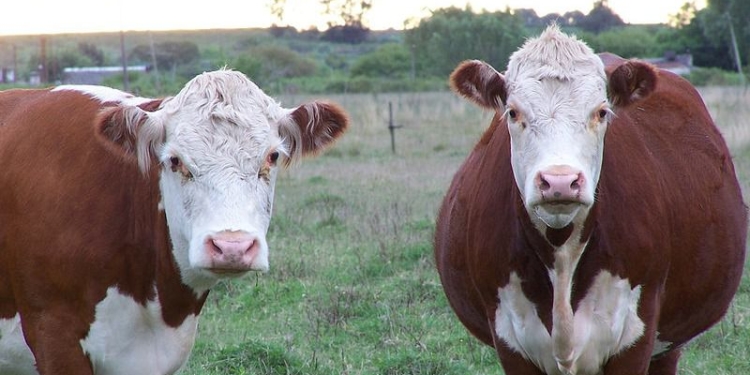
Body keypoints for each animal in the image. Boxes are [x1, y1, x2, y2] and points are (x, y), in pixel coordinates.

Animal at [438, 25, 748, 374]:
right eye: (513, 112)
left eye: (601, 112)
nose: (560, 181)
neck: (561, 256)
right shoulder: (510, 341)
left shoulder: (635, 338)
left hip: (668, 344)